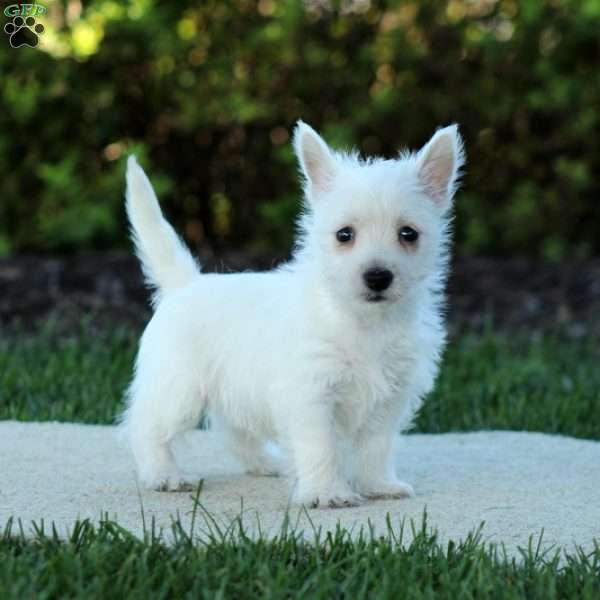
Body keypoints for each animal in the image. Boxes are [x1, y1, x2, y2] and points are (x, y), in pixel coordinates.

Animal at [122, 120, 466, 506]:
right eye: (344, 235)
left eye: (408, 233)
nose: (378, 277)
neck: (362, 322)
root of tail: (185, 283)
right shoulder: (312, 395)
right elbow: (321, 447)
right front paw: (326, 493)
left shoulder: (389, 399)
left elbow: (376, 447)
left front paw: (378, 485)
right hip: (179, 390)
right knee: (146, 427)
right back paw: (163, 474)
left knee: (233, 430)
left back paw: (266, 462)